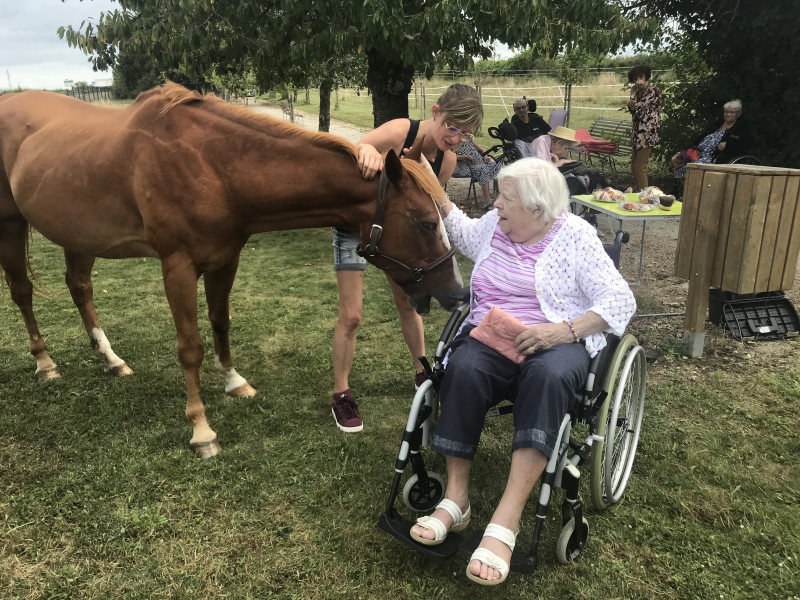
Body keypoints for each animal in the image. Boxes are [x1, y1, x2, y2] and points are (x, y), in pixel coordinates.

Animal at [0, 82, 462, 458]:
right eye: (426, 222)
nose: (457, 293)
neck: (213, 165)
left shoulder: (225, 258)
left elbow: (220, 322)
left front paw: (234, 381)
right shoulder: (178, 266)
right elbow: (190, 347)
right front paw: (202, 430)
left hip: (79, 233)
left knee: (79, 287)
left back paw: (112, 361)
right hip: (12, 224)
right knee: (22, 292)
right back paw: (45, 363)